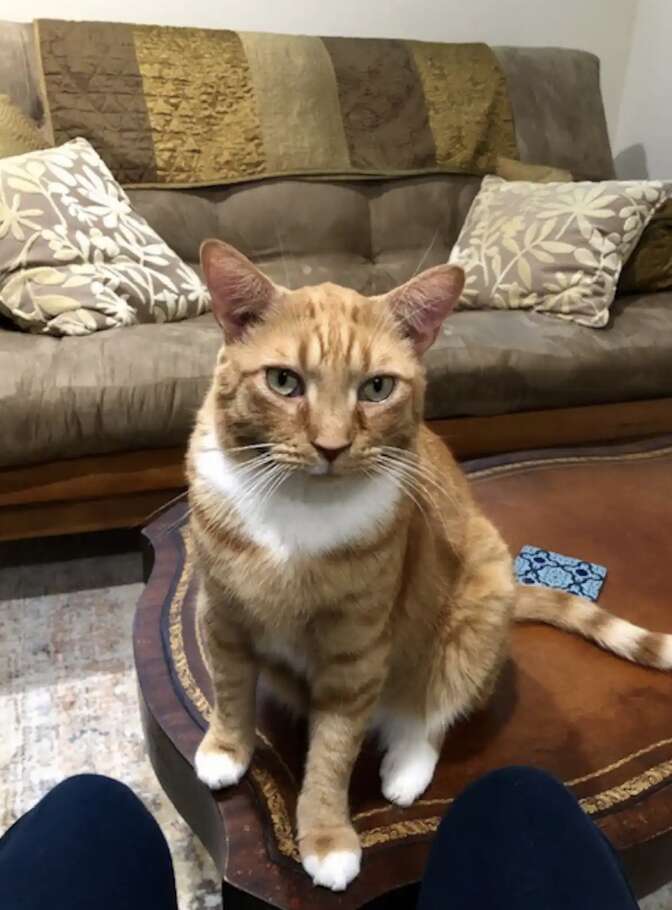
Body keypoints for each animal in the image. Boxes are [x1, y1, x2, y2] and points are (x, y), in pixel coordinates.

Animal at [185, 239, 672, 896]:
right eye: (284, 381)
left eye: (376, 388)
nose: (332, 447)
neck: (295, 513)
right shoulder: (221, 616)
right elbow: (231, 691)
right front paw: (227, 750)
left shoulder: (356, 655)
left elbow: (333, 753)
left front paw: (327, 838)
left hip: (478, 606)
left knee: (432, 711)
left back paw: (405, 768)